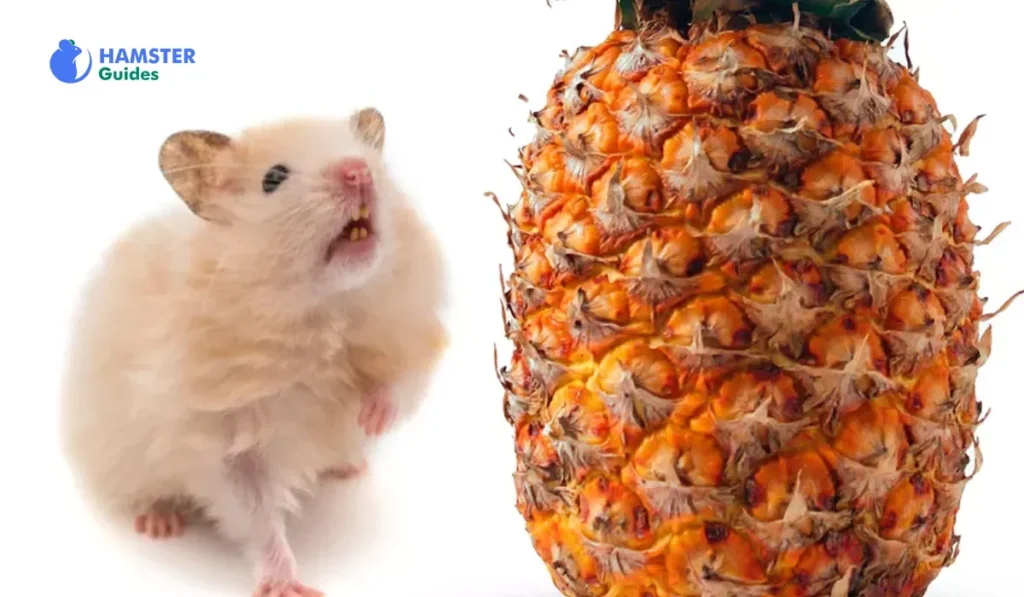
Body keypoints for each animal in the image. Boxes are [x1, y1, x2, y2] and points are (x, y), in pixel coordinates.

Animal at [58, 108, 448, 597]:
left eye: (368, 158)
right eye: (273, 178)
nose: (358, 171)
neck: (322, 310)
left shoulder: (412, 333)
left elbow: (401, 383)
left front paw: (369, 419)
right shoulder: (226, 443)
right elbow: (258, 517)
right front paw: (288, 586)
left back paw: (350, 466)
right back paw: (160, 523)